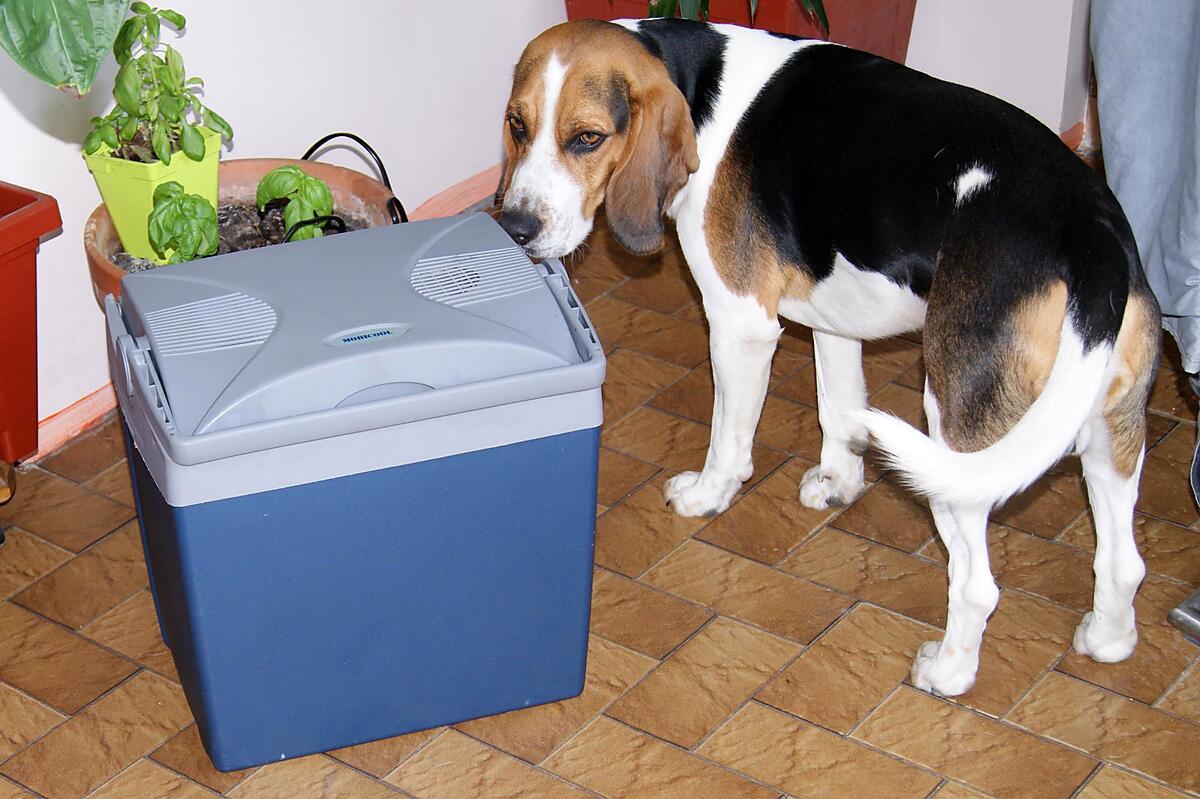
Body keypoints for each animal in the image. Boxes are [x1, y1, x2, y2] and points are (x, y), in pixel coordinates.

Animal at [492, 20, 1156, 695]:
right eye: (517, 125)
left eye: (587, 138)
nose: (515, 227)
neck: (700, 90)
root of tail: (1091, 237)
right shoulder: (834, 317)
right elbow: (839, 408)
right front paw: (840, 483)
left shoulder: (740, 326)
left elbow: (727, 438)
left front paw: (707, 495)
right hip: (1110, 426)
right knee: (1123, 562)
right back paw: (1108, 639)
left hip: (957, 443)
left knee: (976, 584)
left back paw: (947, 671)